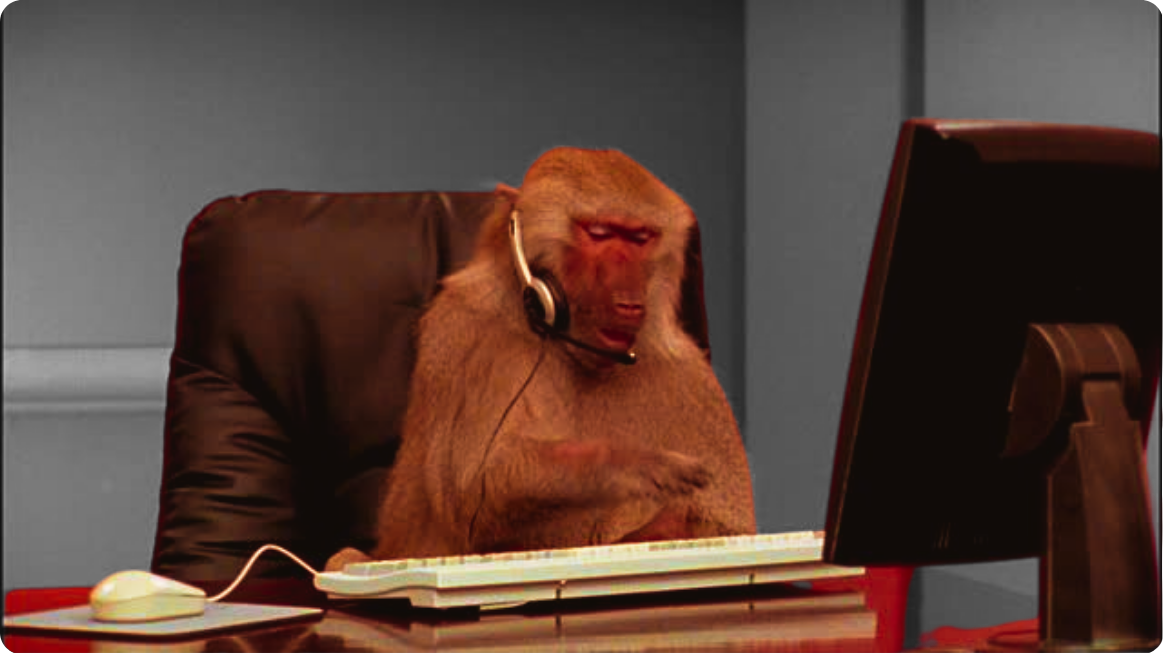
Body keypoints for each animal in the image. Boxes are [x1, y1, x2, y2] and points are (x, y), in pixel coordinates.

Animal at [327, 147, 756, 569]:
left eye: (640, 239)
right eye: (600, 234)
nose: (631, 303)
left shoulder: (690, 378)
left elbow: (730, 529)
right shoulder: (472, 335)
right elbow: (474, 491)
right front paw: (625, 463)